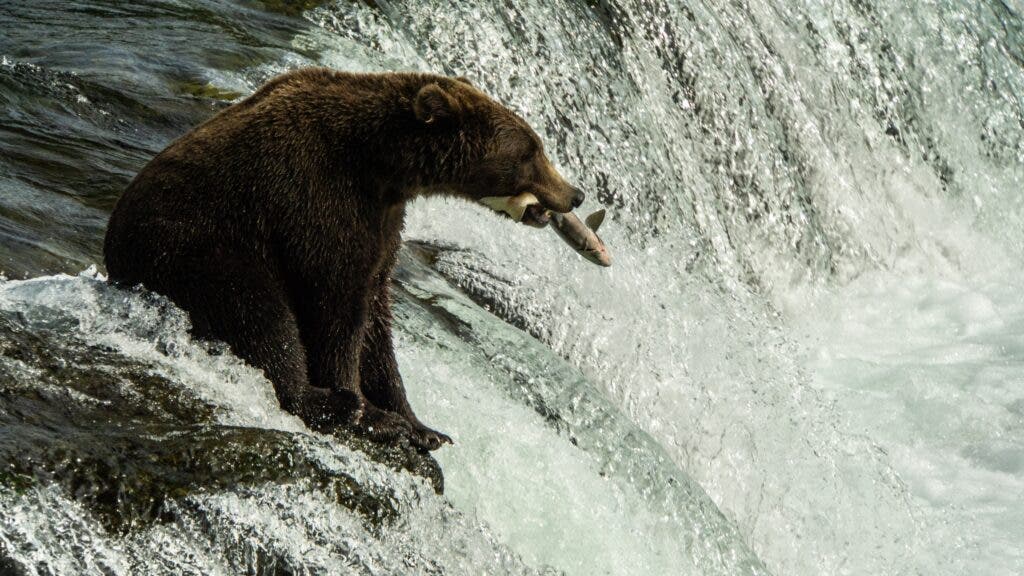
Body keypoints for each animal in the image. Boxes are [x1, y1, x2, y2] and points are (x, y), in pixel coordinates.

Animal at [103, 68, 585, 450]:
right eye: (530, 152)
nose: (575, 193)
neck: (383, 165)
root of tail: (113, 253)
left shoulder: (384, 222)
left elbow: (375, 316)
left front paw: (421, 425)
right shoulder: (318, 199)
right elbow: (336, 306)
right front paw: (371, 413)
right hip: (200, 250)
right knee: (258, 316)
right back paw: (325, 402)